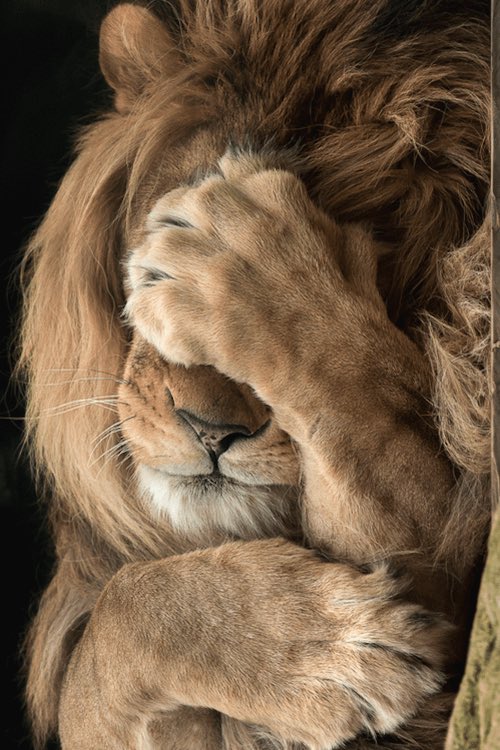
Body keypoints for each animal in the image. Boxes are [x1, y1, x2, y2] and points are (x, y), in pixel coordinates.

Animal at [20, 1, 491, 749]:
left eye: (379, 280)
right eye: (151, 251)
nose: (211, 431)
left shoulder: (456, 584)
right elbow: (109, 632)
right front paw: (322, 654)